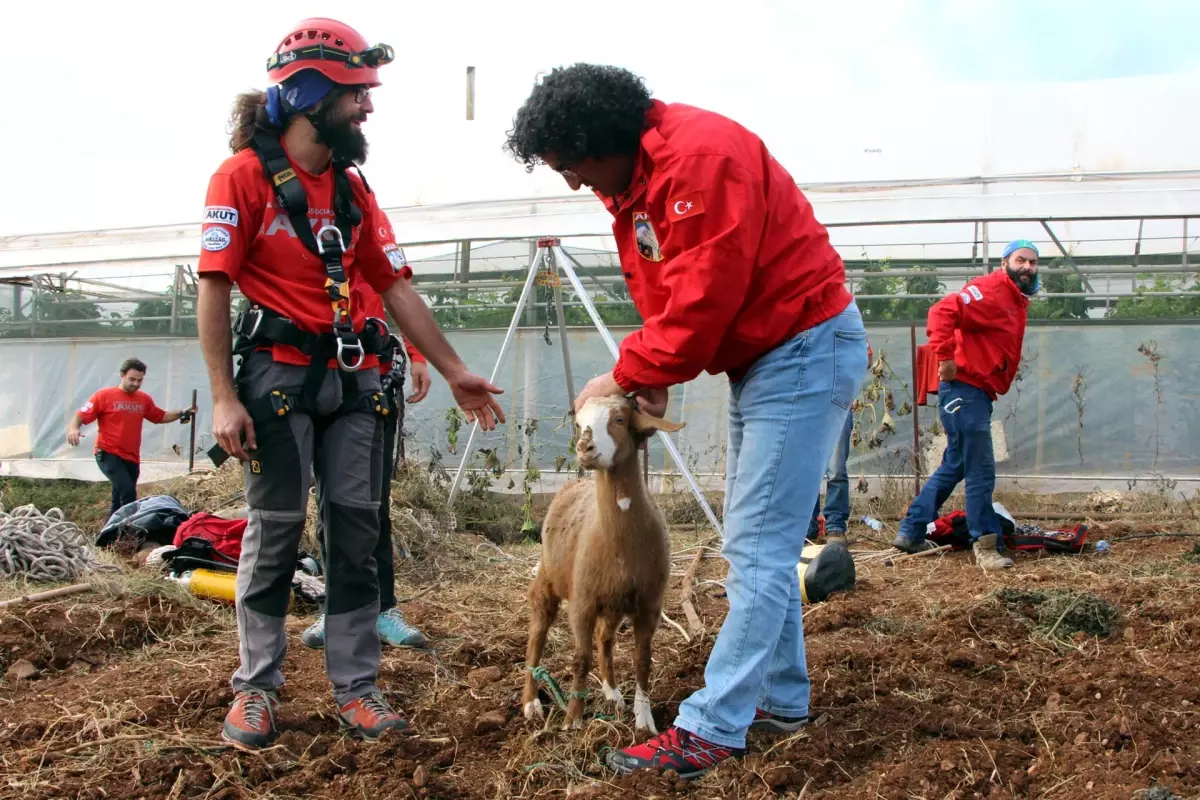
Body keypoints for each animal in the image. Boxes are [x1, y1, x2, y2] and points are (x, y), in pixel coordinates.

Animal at [523, 393, 686, 734]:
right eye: (578, 422)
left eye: (620, 419)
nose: (585, 448)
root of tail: (572, 486)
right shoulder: (582, 602)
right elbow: (580, 659)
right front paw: (573, 719)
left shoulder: (649, 605)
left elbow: (642, 659)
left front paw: (644, 719)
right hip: (550, 576)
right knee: (538, 631)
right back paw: (531, 701)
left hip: (613, 602)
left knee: (605, 638)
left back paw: (612, 692)